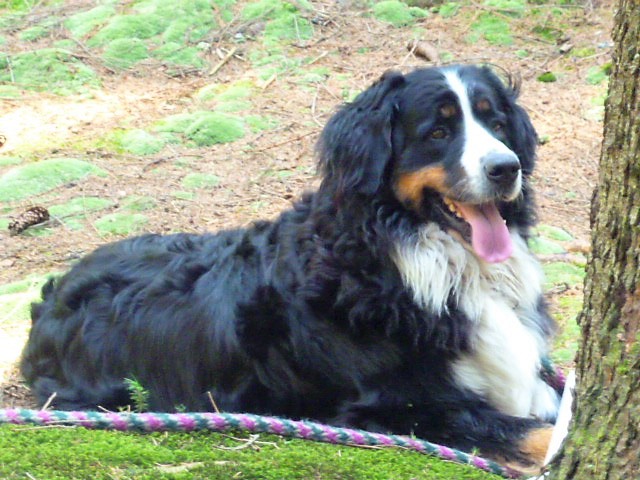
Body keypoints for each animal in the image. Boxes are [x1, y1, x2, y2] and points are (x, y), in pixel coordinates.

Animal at [21, 65, 561, 468]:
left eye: (497, 124)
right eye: (440, 131)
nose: (506, 167)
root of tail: (50, 297)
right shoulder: (395, 407)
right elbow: (536, 433)